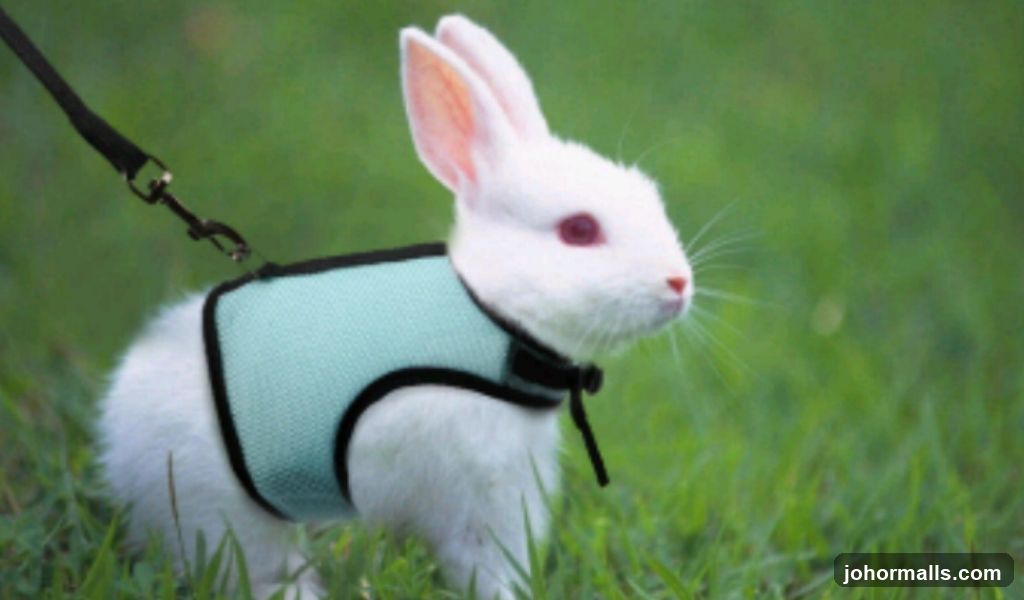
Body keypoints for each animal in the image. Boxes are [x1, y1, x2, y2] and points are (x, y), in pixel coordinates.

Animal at [98, 14, 694, 600]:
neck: (489, 314)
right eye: (579, 230)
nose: (679, 283)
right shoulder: (478, 491)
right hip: (226, 509)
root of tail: (119, 421)